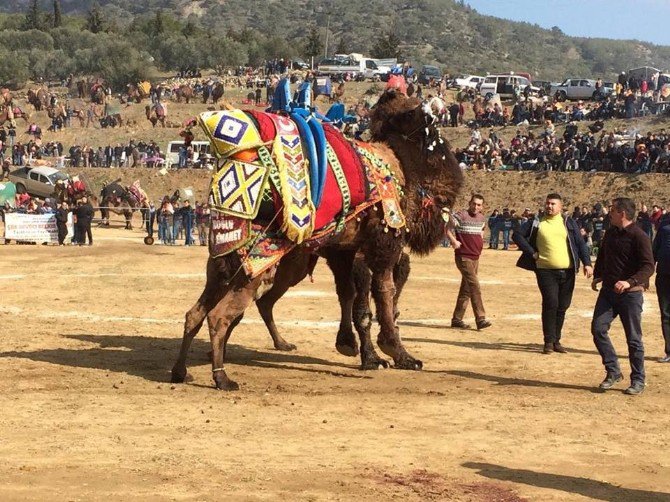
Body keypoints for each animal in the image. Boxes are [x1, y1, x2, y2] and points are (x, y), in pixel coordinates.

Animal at [169, 85, 462, 392]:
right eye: (431, 124)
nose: (454, 177)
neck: (397, 166)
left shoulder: (342, 250)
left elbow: (349, 294)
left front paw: (351, 346)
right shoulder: (384, 242)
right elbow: (381, 295)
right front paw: (397, 355)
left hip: (225, 266)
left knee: (197, 314)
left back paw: (182, 371)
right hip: (254, 268)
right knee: (220, 316)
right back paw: (222, 377)